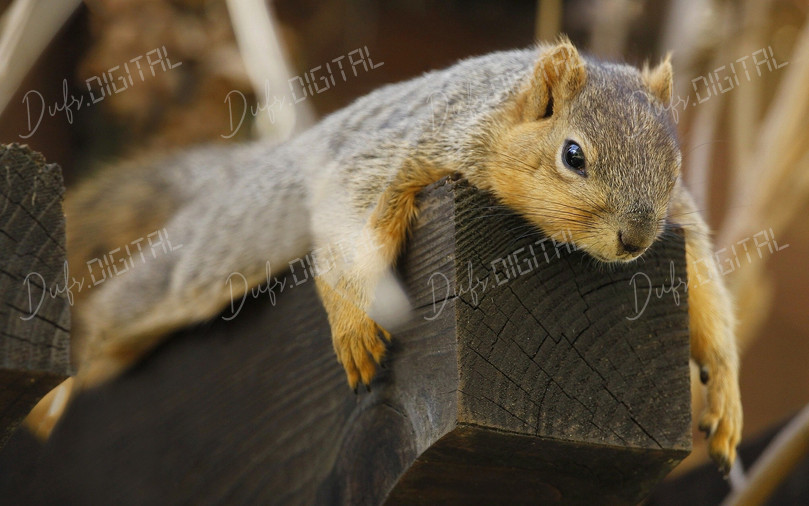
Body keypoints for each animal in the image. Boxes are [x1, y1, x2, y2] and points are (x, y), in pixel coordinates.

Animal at [24, 38, 741, 474]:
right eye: (573, 155)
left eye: (673, 160)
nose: (636, 239)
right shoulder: (409, 152)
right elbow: (345, 238)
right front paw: (352, 327)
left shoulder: (682, 219)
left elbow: (707, 293)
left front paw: (725, 398)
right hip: (201, 263)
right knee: (120, 315)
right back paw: (58, 397)